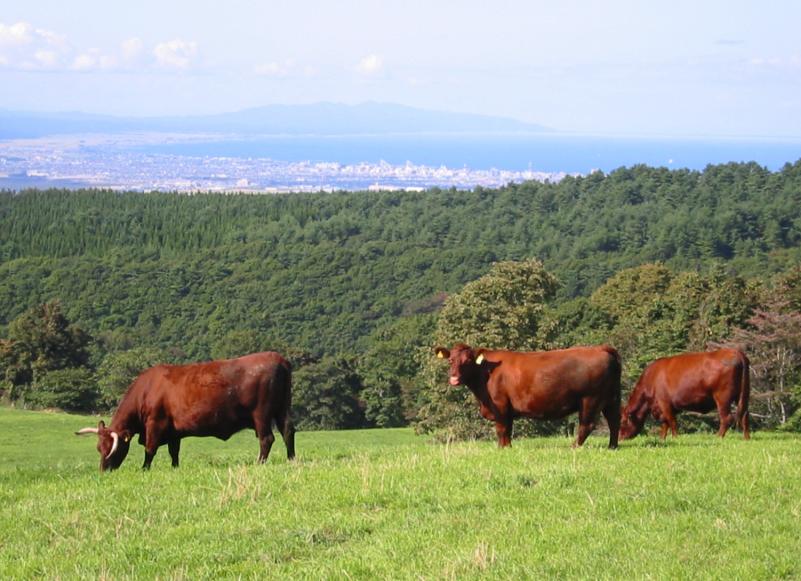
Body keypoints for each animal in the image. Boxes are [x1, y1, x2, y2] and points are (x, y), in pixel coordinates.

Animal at [74, 348, 294, 472]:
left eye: (113, 449)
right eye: (99, 448)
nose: (104, 471)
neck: (147, 389)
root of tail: (278, 358)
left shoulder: (155, 423)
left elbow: (150, 449)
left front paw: (144, 469)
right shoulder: (173, 430)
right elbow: (174, 452)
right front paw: (175, 468)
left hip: (261, 414)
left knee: (267, 439)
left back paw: (260, 463)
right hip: (282, 409)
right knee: (288, 432)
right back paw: (291, 459)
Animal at [434, 344, 620, 448]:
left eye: (467, 361)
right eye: (450, 360)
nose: (454, 378)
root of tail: (600, 348)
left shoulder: (500, 405)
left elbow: (501, 429)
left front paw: (502, 449)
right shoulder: (507, 410)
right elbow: (507, 430)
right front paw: (507, 447)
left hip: (590, 399)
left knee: (587, 425)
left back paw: (573, 447)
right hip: (611, 398)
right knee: (614, 422)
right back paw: (612, 446)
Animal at [620, 348, 752, 440]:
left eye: (622, 421)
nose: (620, 438)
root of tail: (735, 352)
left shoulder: (664, 403)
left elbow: (671, 421)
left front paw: (675, 438)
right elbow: (665, 424)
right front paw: (662, 439)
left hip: (722, 397)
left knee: (726, 418)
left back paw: (718, 437)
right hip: (743, 395)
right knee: (745, 415)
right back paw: (746, 438)